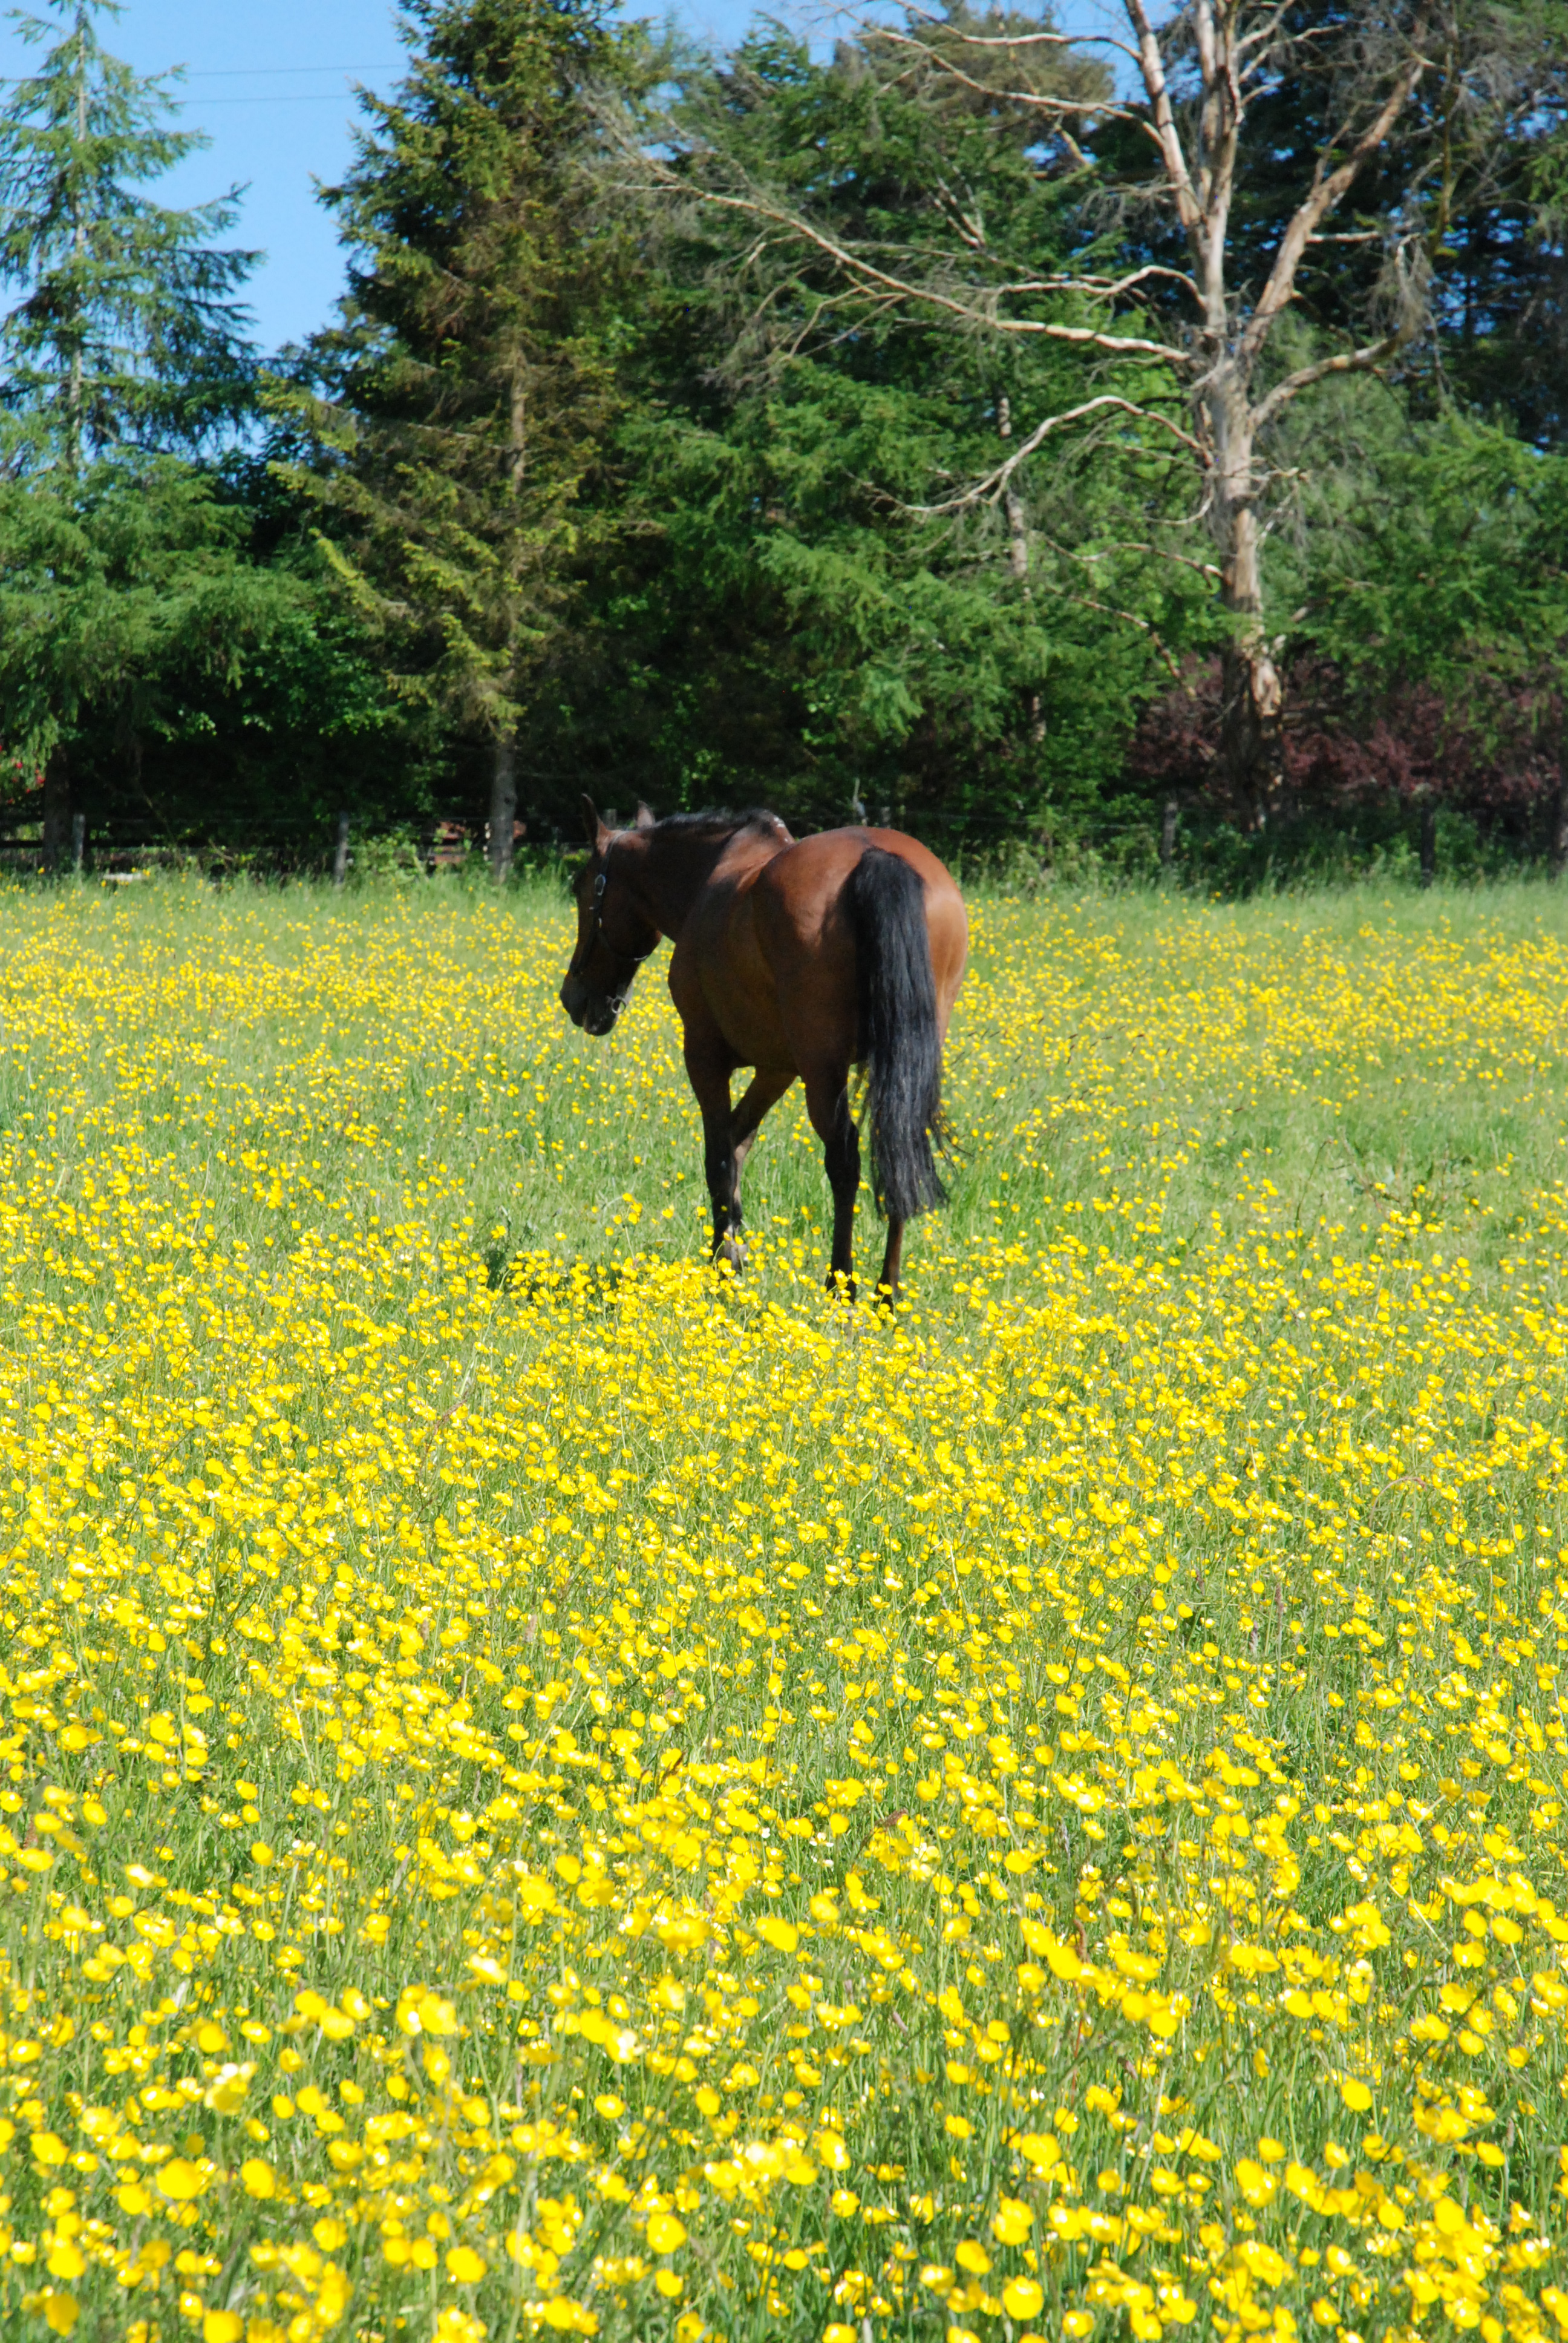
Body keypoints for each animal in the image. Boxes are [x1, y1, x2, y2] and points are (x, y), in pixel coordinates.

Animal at [559, 797, 968, 1300]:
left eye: (582, 888)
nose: (574, 999)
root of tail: (876, 857)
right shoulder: (777, 1069)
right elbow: (739, 1142)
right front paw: (733, 1247)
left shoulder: (705, 1053)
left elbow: (719, 1154)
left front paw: (723, 1261)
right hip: (902, 1062)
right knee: (901, 1149)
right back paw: (886, 1294)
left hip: (823, 1069)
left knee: (845, 1158)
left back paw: (841, 1284)